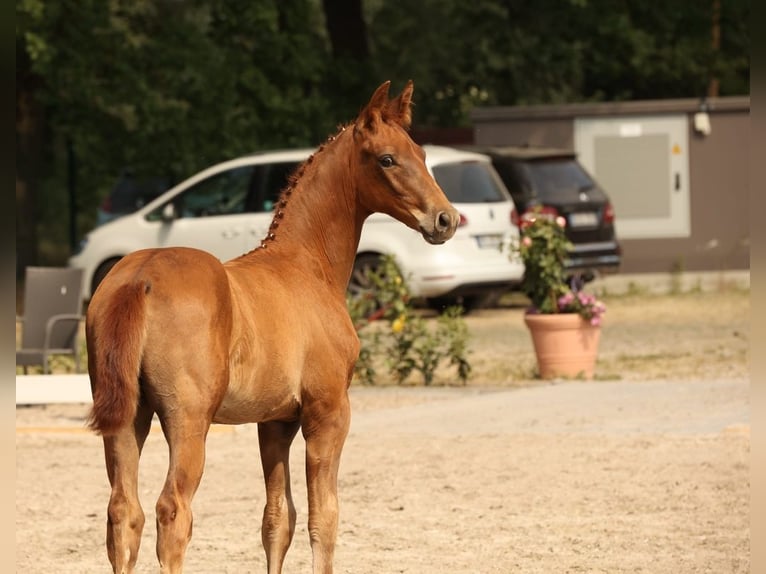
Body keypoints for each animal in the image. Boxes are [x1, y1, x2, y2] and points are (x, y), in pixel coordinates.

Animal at [87, 81, 460, 574]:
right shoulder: (328, 412)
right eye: (386, 159)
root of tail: (139, 278)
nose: (446, 219)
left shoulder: (275, 422)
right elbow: (324, 517)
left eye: (420, 152)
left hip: (129, 417)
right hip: (187, 420)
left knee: (123, 512)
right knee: (173, 510)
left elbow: (277, 519)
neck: (306, 266)